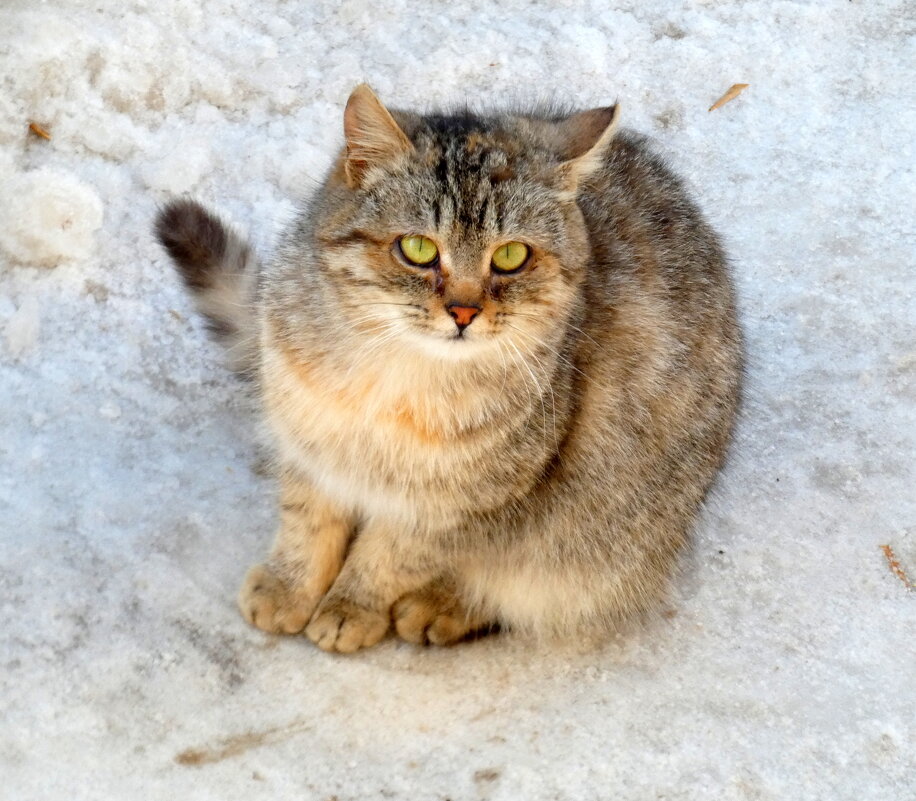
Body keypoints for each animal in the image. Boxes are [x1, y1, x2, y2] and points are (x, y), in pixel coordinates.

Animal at [156, 84, 744, 652]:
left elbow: (389, 556)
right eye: (417, 248)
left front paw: (350, 608)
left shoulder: (456, 504)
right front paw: (290, 586)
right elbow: (307, 523)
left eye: (511, 256)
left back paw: (440, 606)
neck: (388, 379)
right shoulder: (311, 447)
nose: (464, 312)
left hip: (602, 544)